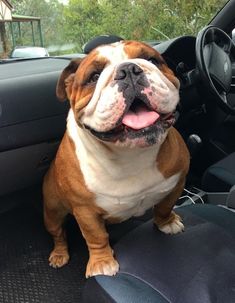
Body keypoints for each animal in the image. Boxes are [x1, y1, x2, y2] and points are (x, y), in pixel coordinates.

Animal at [42, 41, 189, 280]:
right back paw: (59, 255)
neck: (130, 153)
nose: (129, 70)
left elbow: (165, 207)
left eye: (152, 60)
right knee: (58, 234)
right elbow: (96, 236)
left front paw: (167, 223)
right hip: (52, 212)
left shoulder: (177, 182)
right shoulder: (85, 210)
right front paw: (102, 262)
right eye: (94, 76)